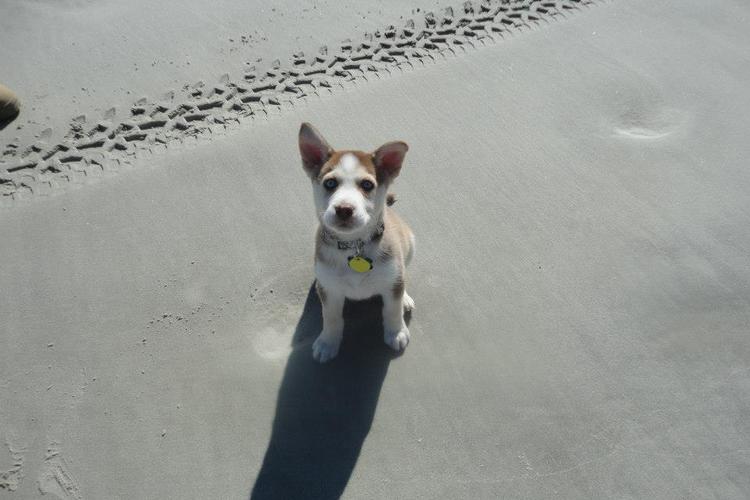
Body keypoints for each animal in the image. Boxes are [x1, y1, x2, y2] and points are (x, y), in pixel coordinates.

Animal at [298, 123, 415, 363]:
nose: (344, 209)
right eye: (330, 183)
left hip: (409, 244)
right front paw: (327, 342)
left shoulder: (393, 280)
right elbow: (331, 318)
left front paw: (396, 332)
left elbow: (392, 308)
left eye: (367, 185)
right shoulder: (331, 292)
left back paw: (406, 298)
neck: (353, 245)